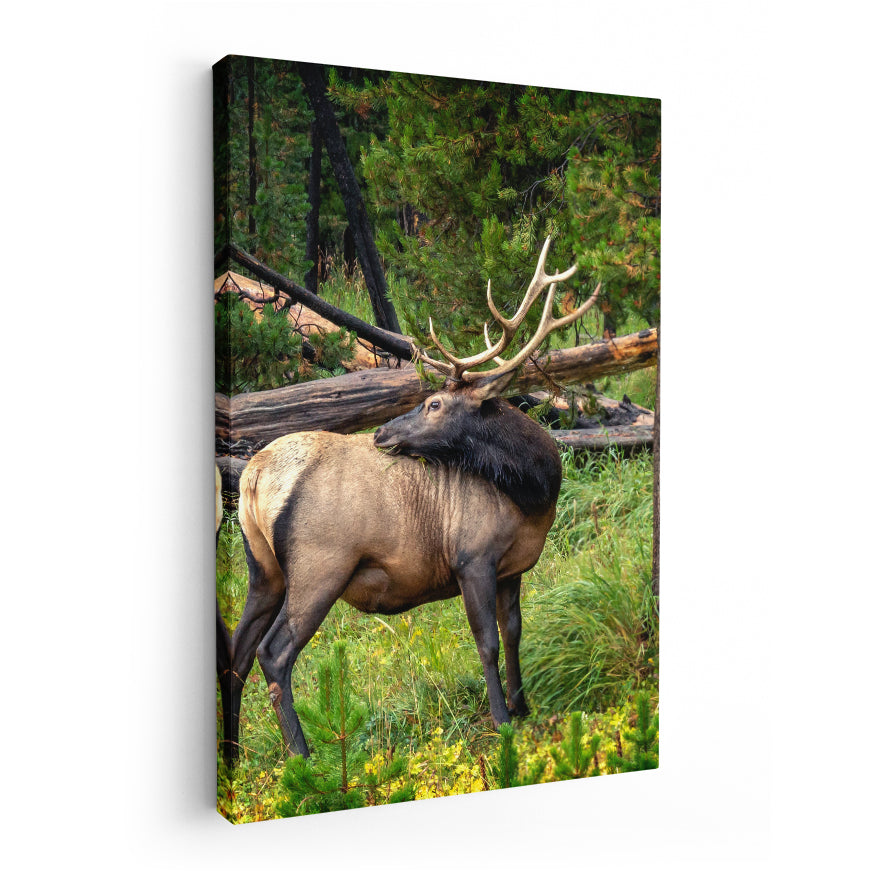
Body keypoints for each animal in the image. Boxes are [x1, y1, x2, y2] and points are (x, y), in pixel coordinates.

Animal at [218, 238, 600, 763]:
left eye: (434, 404)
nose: (382, 432)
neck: (534, 495)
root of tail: (253, 475)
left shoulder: (513, 568)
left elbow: (514, 632)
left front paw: (525, 708)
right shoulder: (472, 558)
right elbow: (487, 642)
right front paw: (502, 720)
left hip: (263, 569)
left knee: (236, 655)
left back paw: (234, 757)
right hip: (321, 565)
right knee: (273, 655)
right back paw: (303, 756)